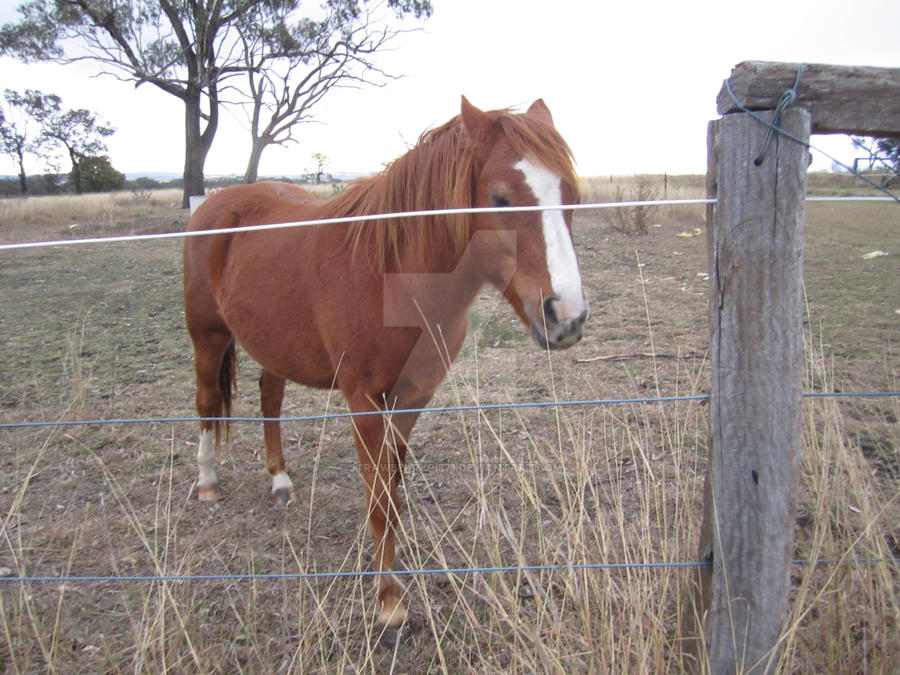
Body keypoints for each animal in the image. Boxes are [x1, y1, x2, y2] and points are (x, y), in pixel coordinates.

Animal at [184, 97, 592, 632]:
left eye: (573, 197)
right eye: (500, 198)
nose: (567, 316)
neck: (393, 276)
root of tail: (216, 204)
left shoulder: (413, 397)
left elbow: (393, 488)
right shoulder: (363, 402)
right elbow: (378, 497)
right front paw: (389, 602)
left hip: (273, 343)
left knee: (269, 396)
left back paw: (280, 482)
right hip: (207, 337)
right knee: (207, 401)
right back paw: (207, 484)